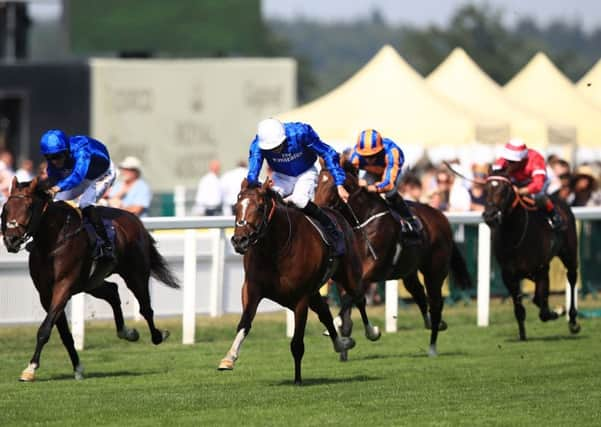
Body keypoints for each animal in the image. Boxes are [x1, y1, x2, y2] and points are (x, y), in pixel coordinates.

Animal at [1, 177, 179, 382]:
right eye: (6, 207)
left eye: (29, 207)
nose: (11, 240)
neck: (52, 242)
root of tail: (135, 219)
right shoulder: (45, 293)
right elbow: (63, 333)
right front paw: (77, 367)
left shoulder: (63, 286)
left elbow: (45, 329)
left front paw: (30, 369)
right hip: (91, 282)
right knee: (112, 291)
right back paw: (127, 332)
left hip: (136, 274)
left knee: (146, 308)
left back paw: (158, 336)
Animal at [216, 179, 378, 386]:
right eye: (236, 207)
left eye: (260, 208)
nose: (239, 240)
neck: (275, 249)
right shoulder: (252, 288)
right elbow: (244, 322)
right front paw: (229, 358)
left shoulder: (301, 298)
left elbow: (297, 343)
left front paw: (298, 380)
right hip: (315, 293)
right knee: (325, 313)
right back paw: (342, 344)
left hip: (349, 275)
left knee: (359, 299)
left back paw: (371, 332)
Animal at [314, 162, 474, 356]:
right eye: (316, 183)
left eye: (332, 186)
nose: (317, 208)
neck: (361, 223)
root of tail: (441, 217)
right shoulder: (348, 274)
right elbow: (356, 300)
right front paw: (356, 331)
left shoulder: (370, 272)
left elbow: (353, 298)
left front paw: (341, 325)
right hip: (409, 270)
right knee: (418, 293)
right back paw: (430, 323)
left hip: (435, 271)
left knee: (436, 303)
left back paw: (432, 347)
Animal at [482, 172, 576, 340]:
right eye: (485, 189)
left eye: (505, 190)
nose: (489, 216)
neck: (515, 235)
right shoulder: (509, 275)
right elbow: (520, 308)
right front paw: (522, 335)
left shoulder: (542, 269)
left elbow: (543, 311)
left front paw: (557, 311)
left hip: (569, 254)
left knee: (571, 277)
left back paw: (572, 321)